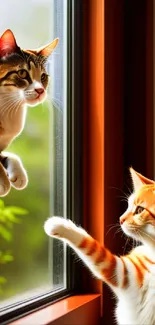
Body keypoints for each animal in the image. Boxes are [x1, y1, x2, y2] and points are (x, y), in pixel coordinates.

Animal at [44, 167, 155, 324]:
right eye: (128, 206)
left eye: (139, 210)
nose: (120, 219)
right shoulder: (125, 274)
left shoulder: (120, 271)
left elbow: (91, 246)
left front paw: (59, 225)